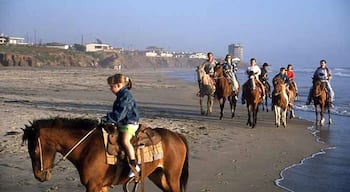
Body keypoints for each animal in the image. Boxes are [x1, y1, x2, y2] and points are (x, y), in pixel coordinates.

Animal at [21, 118, 189, 191]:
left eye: (34, 150)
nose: (38, 176)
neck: (86, 147)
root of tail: (177, 135)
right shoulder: (101, 186)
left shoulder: (93, 186)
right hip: (158, 176)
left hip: (172, 176)